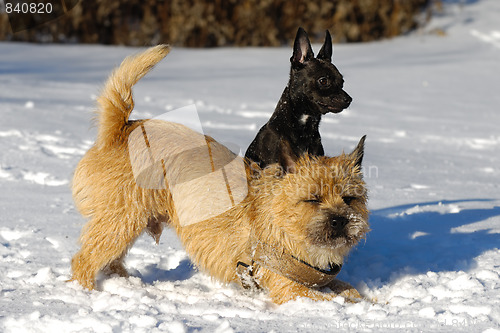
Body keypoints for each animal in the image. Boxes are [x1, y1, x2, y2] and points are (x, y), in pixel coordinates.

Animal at [70, 45, 370, 304]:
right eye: (312, 199)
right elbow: (331, 300)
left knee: (110, 261)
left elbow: (351, 290)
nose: (339, 220)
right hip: (120, 221)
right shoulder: (290, 288)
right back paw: (86, 293)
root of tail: (120, 130)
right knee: (83, 260)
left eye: (349, 199)